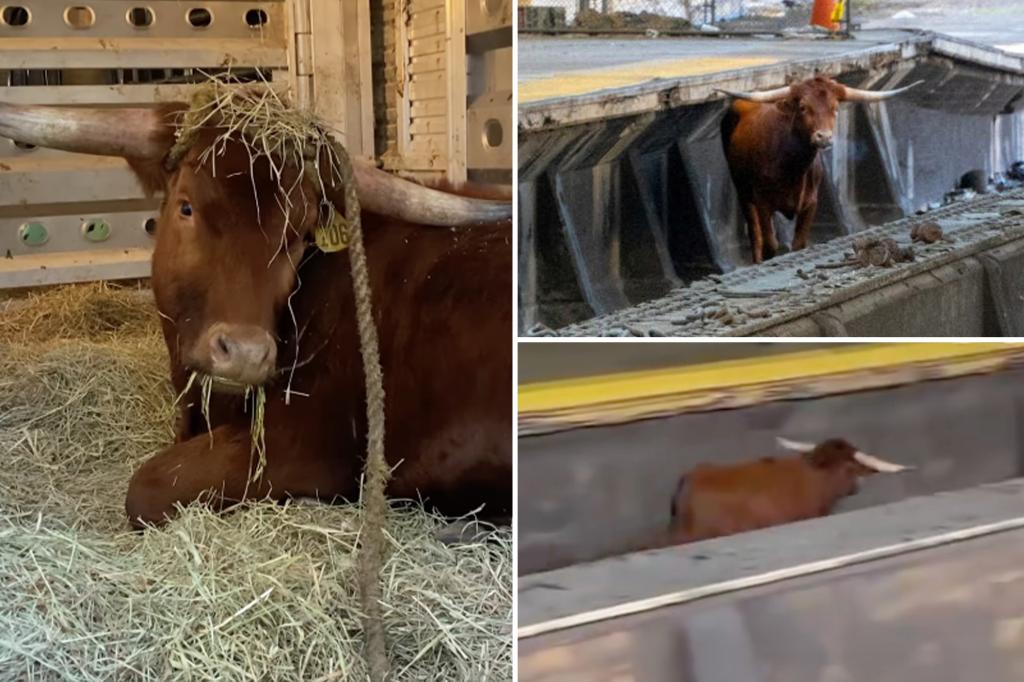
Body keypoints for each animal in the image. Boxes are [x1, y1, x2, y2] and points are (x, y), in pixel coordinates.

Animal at [720, 76, 921, 262]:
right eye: (803, 107)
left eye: (835, 108)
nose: (823, 137)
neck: (791, 168)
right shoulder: (763, 202)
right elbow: (770, 244)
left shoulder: (810, 203)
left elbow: (799, 244)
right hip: (743, 192)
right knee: (756, 236)